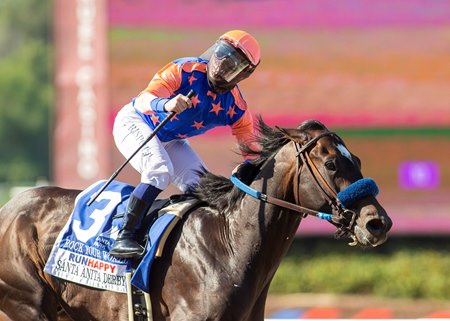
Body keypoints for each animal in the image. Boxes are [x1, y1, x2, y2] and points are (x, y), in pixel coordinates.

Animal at [0, 119, 390, 318]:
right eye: (331, 163)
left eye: (355, 158)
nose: (377, 222)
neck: (228, 245)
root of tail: (11, 208)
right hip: (27, 303)